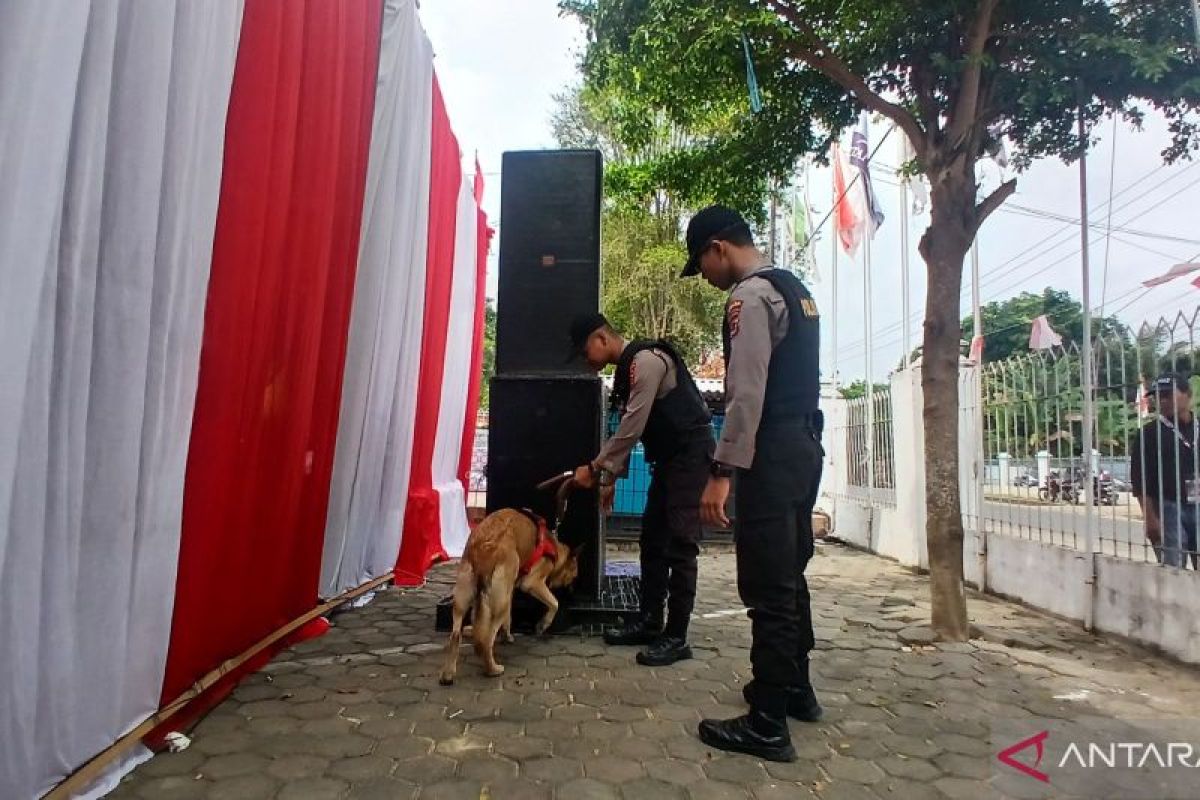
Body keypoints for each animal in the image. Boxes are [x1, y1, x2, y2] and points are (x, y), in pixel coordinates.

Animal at [439, 479, 583, 686]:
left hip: (467, 598)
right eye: (574, 576)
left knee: (456, 634)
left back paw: (448, 673)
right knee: (485, 640)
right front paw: (543, 624)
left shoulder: (510, 590)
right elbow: (554, 603)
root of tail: (485, 548)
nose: (572, 593)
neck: (554, 546)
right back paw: (492, 669)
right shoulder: (532, 583)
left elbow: (509, 617)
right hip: (498, 600)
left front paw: (507, 635)